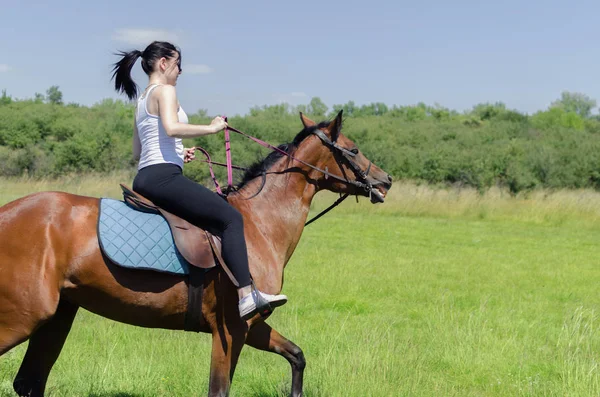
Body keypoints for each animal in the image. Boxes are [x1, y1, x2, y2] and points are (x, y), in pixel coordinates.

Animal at [0, 112, 392, 396]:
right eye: (353, 149)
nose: (385, 181)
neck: (259, 223)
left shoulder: (253, 326)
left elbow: (296, 357)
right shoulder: (230, 330)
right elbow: (219, 390)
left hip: (57, 317)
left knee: (29, 383)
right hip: (23, 318)